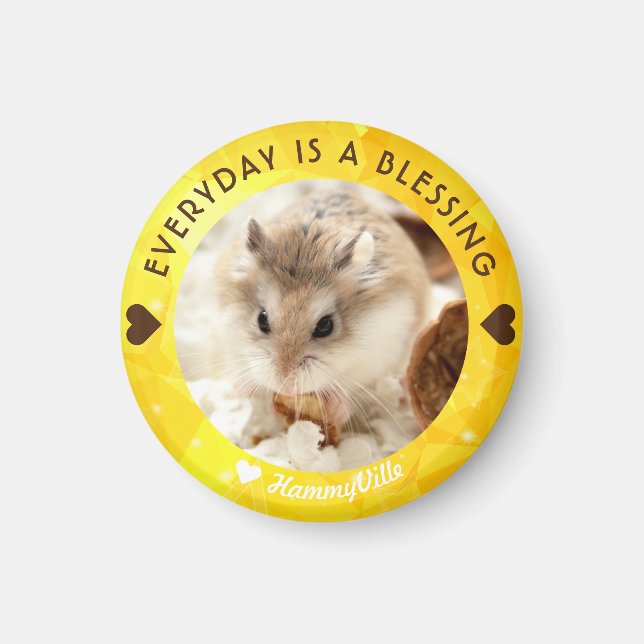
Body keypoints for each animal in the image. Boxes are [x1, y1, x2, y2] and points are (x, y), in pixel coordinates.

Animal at [214, 191, 429, 428]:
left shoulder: (380, 354)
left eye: (325, 326)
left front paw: (335, 409)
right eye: (262, 320)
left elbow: (351, 386)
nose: (284, 385)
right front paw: (245, 392)